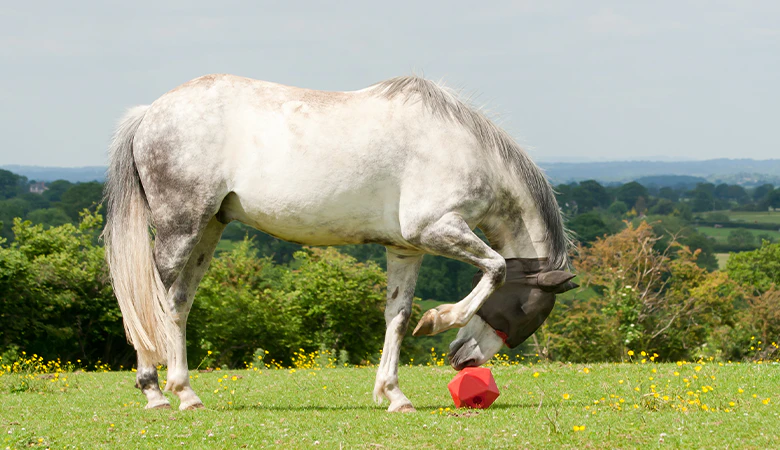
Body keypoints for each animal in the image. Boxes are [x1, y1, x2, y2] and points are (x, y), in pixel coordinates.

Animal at [102, 74, 575, 413]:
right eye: (527, 312)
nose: (464, 360)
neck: (458, 146)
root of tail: (149, 114)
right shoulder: (434, 230)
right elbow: (496, 269)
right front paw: (438, 319)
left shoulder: (407, 248)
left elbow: (397, 317)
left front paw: (394, 394)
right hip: (180, 227)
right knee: (148, 303)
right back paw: (154, 392)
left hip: (209, 228)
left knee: (176, 305)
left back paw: (185, 394)